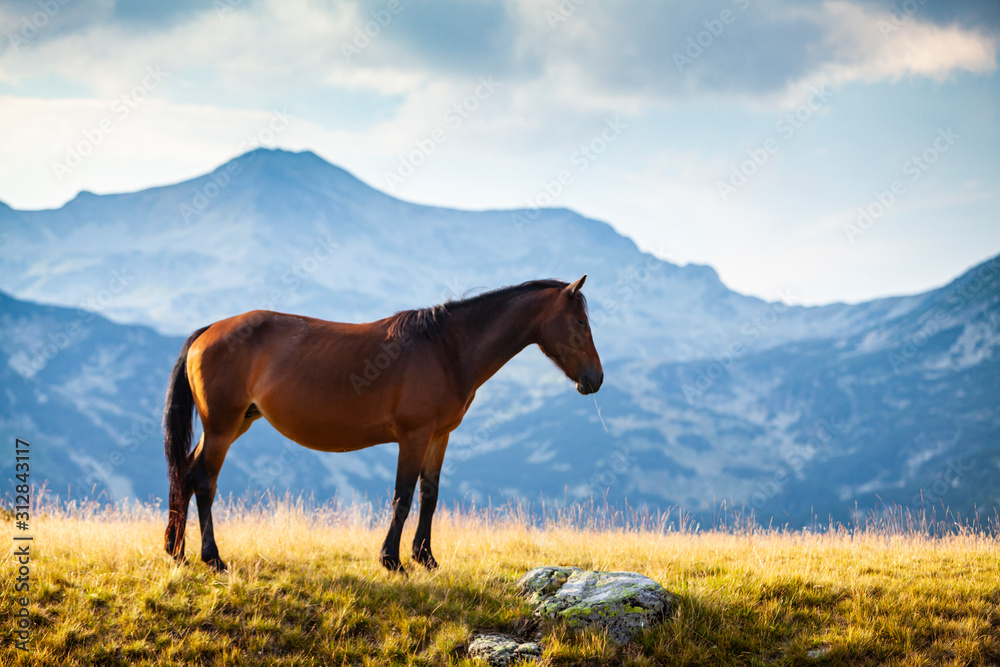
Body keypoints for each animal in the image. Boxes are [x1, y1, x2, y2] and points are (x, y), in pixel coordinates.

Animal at [163, 276, 600, 576]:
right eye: (580, 321)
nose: (595, 379)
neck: (446, 349)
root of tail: (208, 331)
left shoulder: (439, 436)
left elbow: (429, 494)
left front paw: (426, 558)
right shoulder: (414, 436)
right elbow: (403, 496)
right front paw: (392, 560)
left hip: (235, 424)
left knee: (186, 474)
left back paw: (177, 552)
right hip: (222, 429)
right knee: (204, 481)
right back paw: (212, 558)